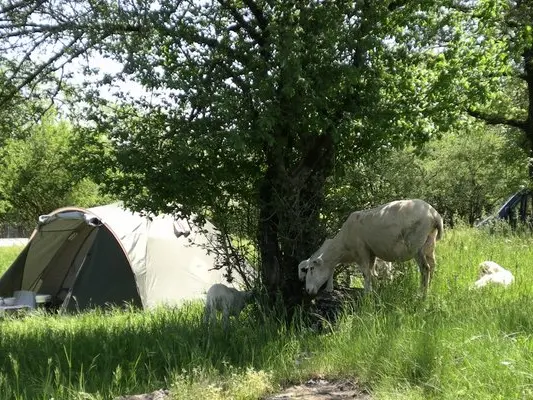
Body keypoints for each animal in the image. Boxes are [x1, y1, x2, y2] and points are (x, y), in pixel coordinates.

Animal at [298, 200, 442, 296]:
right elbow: (373, 273)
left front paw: (367, 293)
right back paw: (430, 288)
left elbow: (366, 273)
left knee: (425, 268)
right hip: (430, 243)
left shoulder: (361, 251)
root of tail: (434, 215)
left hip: (416, 245)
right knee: (432, 265)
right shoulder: (372, 253)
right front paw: (376, 290)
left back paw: (422, 294)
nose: (308, 291)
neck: (342, 247)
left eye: (311, 268)